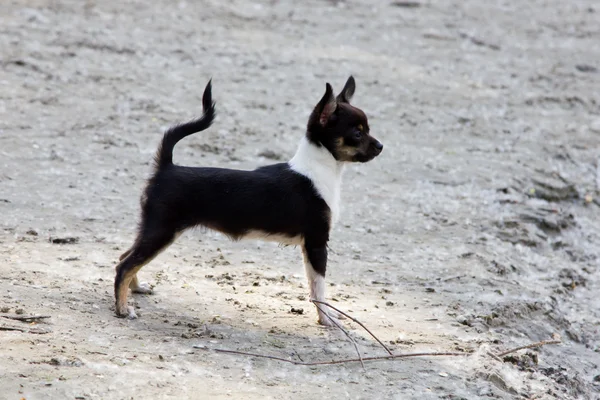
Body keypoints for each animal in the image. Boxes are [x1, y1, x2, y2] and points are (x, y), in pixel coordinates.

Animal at [113, 76, 384, 324]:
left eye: (369, 129)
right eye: (357, 134)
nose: (381, 146)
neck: (318, 170)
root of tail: (167, 167)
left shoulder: (310, 246)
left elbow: (314, 287)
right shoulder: (316, 244)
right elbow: (319, 288)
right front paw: (327, 320)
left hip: (155, 229)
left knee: (125, 257)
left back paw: (135, 289)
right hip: (162, 230)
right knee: (125, 265)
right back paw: (122, 308)